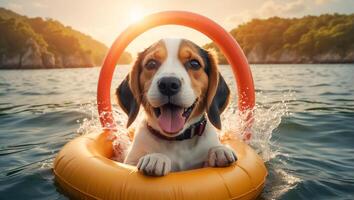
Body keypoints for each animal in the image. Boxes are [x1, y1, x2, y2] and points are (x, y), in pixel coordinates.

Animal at [117, 38, 238, 176]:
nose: (168, 84)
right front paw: (155, 157)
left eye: (194, 64)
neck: (177, 140)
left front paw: (219, 151)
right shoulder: (130, 161)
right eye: (151, 63)